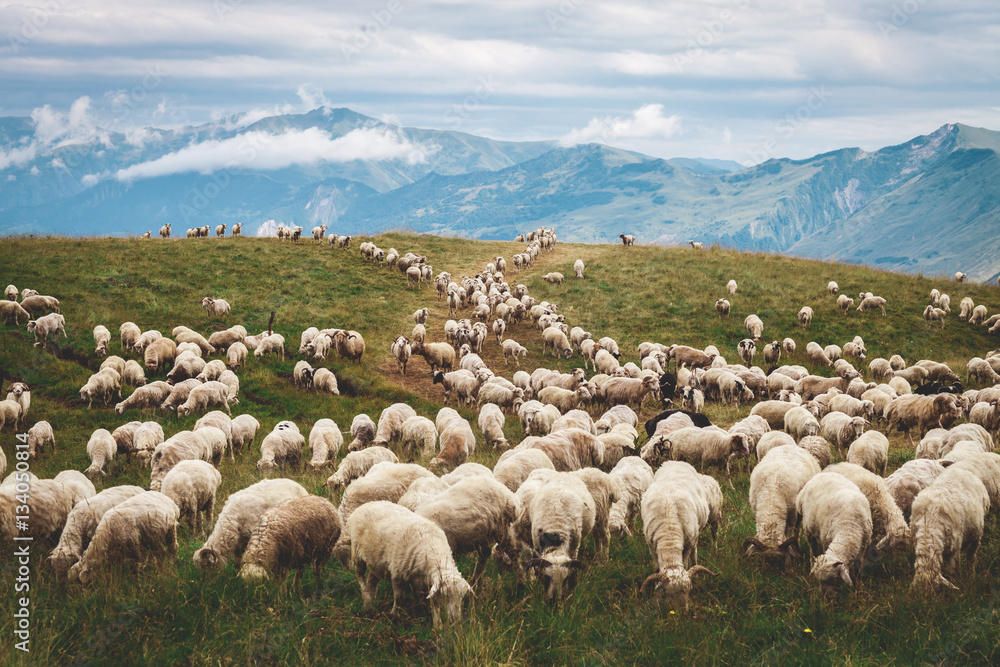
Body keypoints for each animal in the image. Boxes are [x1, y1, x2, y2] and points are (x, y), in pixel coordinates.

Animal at [639, 463, 721, 612]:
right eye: (667, 593)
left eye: (689, 590)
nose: (683, 613)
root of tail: (675, 462)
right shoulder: (651, 547)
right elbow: (656, 567)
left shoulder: (687, 545)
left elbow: (686, 561)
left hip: (709, 520)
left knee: (710, 537)